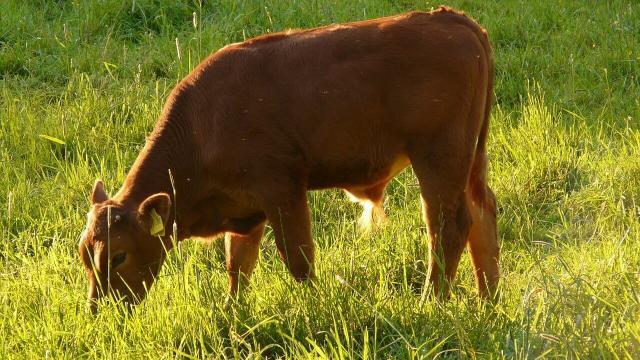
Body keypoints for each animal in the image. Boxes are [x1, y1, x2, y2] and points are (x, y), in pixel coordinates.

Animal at [79, 6, 500, 312]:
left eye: (118, 256)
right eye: (85, 255)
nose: (101, 311)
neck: (203, 126)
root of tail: (452, 19)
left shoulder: (282, 189)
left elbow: (298, 258)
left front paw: (313, 305)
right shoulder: (244, 210)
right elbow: (238, 266)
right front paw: (233, 313)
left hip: (439, 156)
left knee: (448, 226)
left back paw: (432, 302)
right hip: (470, 158)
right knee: (482, 213)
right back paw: (488, 301)